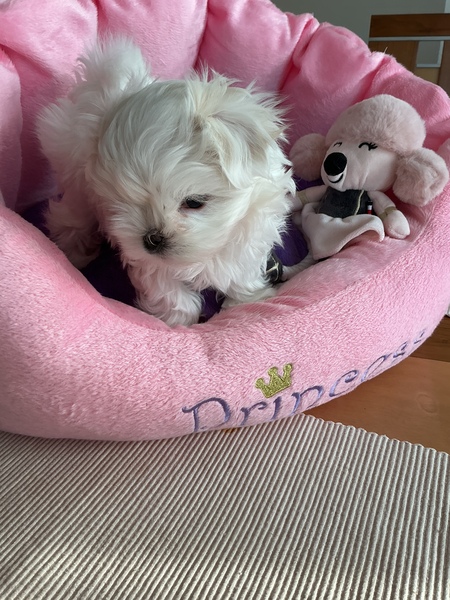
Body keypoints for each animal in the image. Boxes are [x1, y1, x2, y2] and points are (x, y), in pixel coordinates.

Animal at [37, 38, 298, 326]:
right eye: (121, 200)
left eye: (194, 202)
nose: (152, 239)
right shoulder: (148, 260)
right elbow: (169, 291)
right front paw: (179, 322)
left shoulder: (251, 234)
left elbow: (241, 270)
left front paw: (249, 299)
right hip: (77, 183)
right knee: (70, 219)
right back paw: (75, 253)